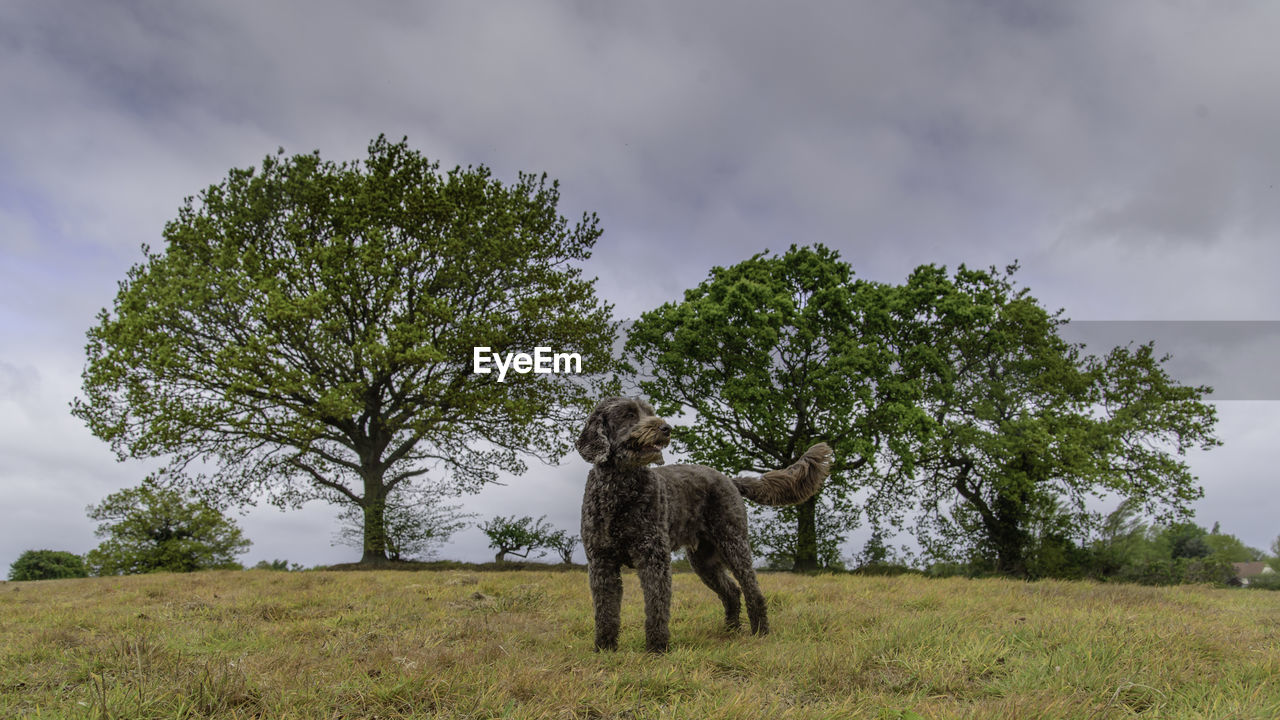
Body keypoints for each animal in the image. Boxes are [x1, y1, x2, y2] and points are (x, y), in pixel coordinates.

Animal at [578, 392, 829, 650]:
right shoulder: (601, 562)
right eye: (629, 414)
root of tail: (730, 479)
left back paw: (760, 632)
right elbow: (606, 610)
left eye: (649, 412)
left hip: (733, 544)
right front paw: (605, 648)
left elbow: (656, 605)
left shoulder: (654, 558)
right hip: (703, 560)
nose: (666, 428)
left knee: (752, 591)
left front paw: (657, 648)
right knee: (732, 591)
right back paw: (731, 630)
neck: (620, 490)